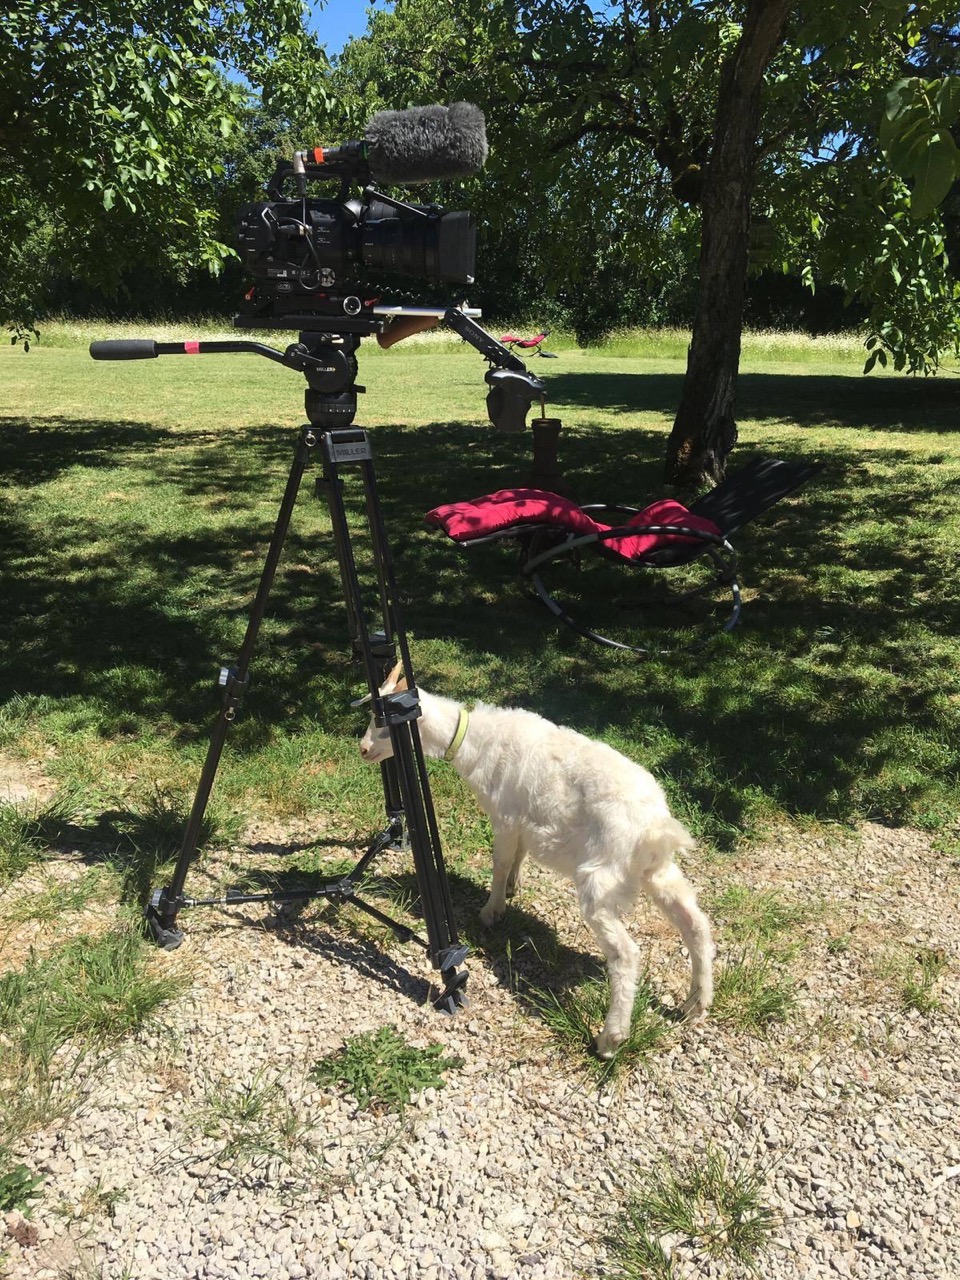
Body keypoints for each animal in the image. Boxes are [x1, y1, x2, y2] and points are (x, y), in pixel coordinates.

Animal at [360, 665, 716, 1054]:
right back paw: (696, 1004)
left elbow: (500, 862)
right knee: (696, 924)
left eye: (383, 723)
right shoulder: (522, 824)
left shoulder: (503, 817)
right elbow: (518, 856)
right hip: (658, 871)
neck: (476, 742)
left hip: (602, 878)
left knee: (626, 955)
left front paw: (491, 911)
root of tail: (655, 828)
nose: (363, 749)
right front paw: (512, 889)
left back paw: (609, 1039)